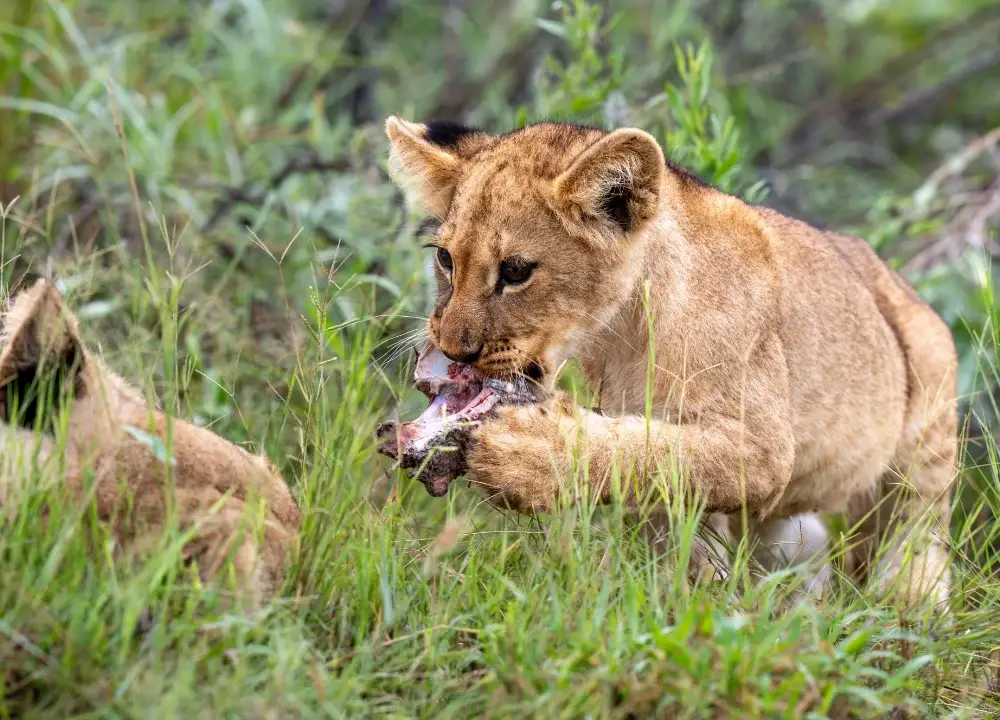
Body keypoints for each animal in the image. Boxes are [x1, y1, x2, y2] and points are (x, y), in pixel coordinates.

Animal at [384, 116, 958, 606]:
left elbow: (659, 455)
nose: (453, 349)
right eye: (445, 258)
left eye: (516, 271)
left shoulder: (766, 449)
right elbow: (663, 491)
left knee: (915, 529)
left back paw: (909, 605)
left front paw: (530, 452)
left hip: (925, 438)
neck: (619, 334)